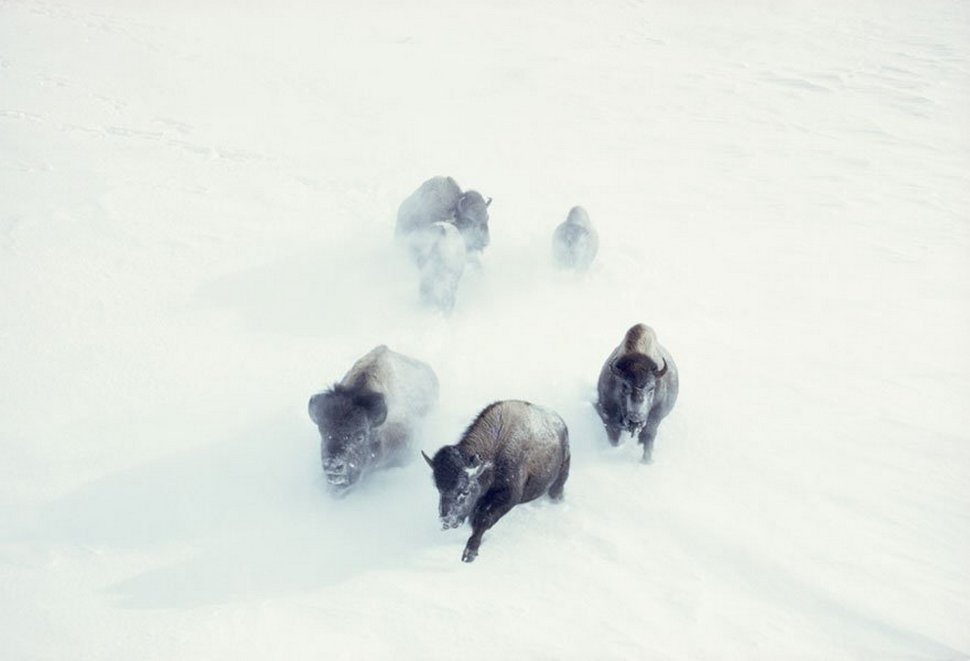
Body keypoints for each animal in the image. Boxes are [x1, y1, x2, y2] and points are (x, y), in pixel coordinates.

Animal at [422, 398, 568, 564]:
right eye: (439, 489)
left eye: (465, 491)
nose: (446, 521)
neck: (496, 452)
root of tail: (562, 425)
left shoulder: (507, 498)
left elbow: (483, 521)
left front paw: (469, 554)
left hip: (559, 480)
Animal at [592, 322, 676, 462]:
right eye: (625, 386)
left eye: (652, 388)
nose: (636, 416)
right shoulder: (608, 413)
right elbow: (613, 435)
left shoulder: (655, 416)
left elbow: (648, 436)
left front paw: (646, 461)